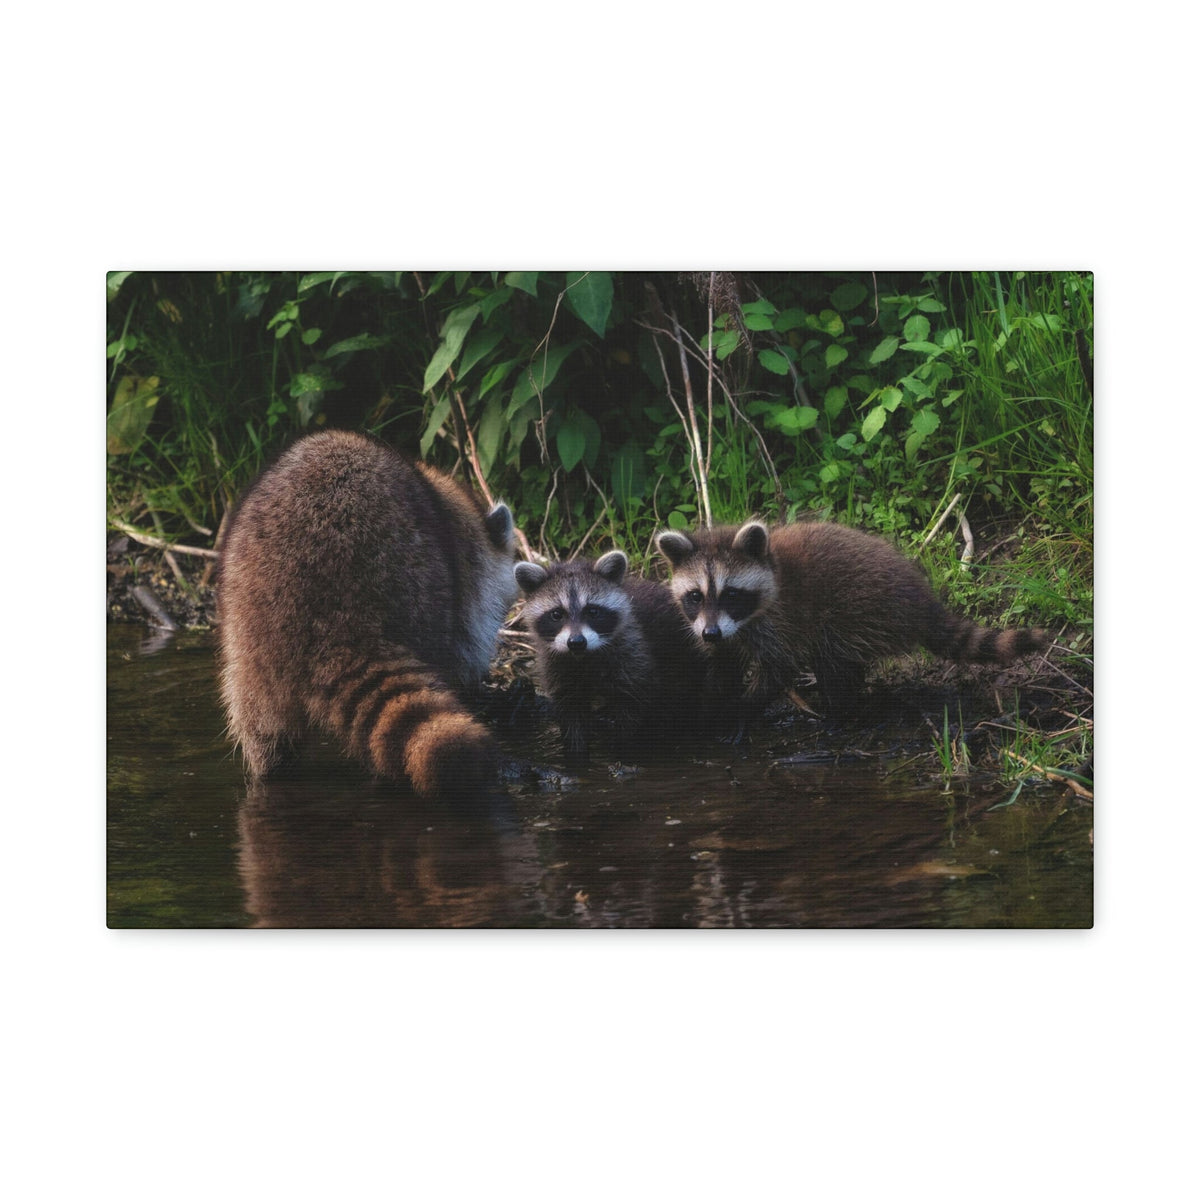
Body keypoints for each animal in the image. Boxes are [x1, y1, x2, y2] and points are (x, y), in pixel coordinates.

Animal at [514, 550, 703, 755]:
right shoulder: (558, 667)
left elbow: (631, 712)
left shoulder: (633, 655)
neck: (583, 656)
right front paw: (576, 752)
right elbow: (572, 714)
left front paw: (622, 749)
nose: (576, 642)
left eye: (592, 611)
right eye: (557, 614)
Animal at [655, 519, 1048, 717]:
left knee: (833, 655)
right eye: (695, 596)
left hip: (861, 610)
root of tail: (923, 602)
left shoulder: (781, 622)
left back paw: (838, 704)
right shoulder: (720, 629)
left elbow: (779, 668)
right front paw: (715, 697)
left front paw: (744, 704)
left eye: (732, 595)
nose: (710, 633)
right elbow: (723, 662)